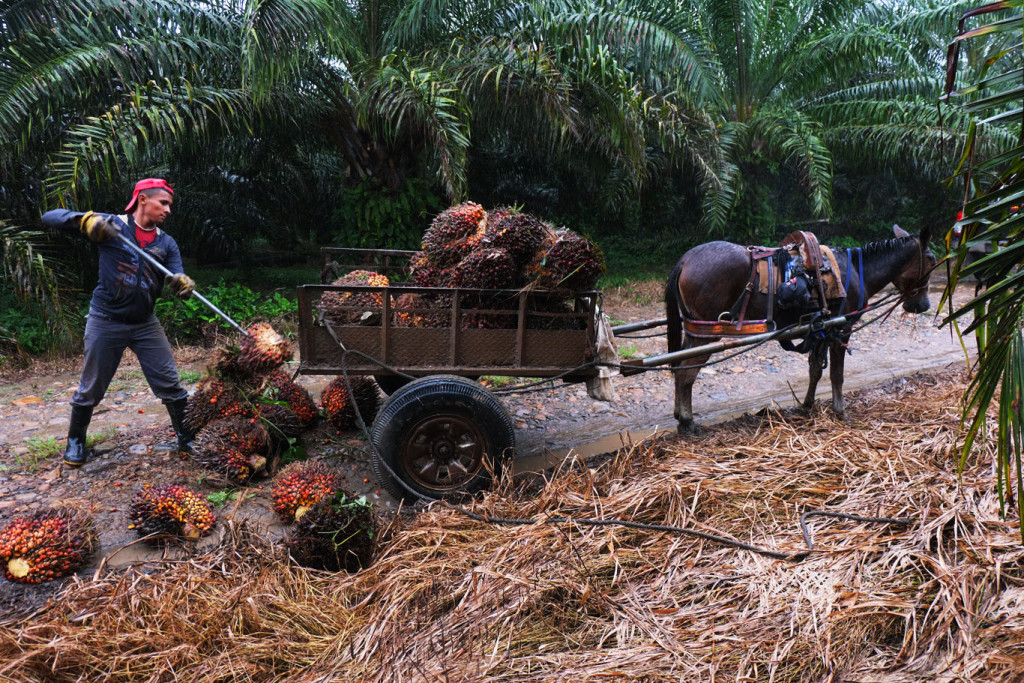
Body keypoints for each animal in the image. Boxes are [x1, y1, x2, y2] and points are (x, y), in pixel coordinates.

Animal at [663, 225, 937, 432]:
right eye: (932, 262)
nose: (924, 305)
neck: (857, 271)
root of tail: (685, 260)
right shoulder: (841, 330)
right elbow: (836, 374)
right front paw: (840, 411)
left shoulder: (820, 330)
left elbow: (815, 370)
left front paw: (807, 405)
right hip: (705, 334)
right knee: (687, 374)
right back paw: (687, 422)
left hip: (694, 331)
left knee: (679, 369)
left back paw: (680, 415)